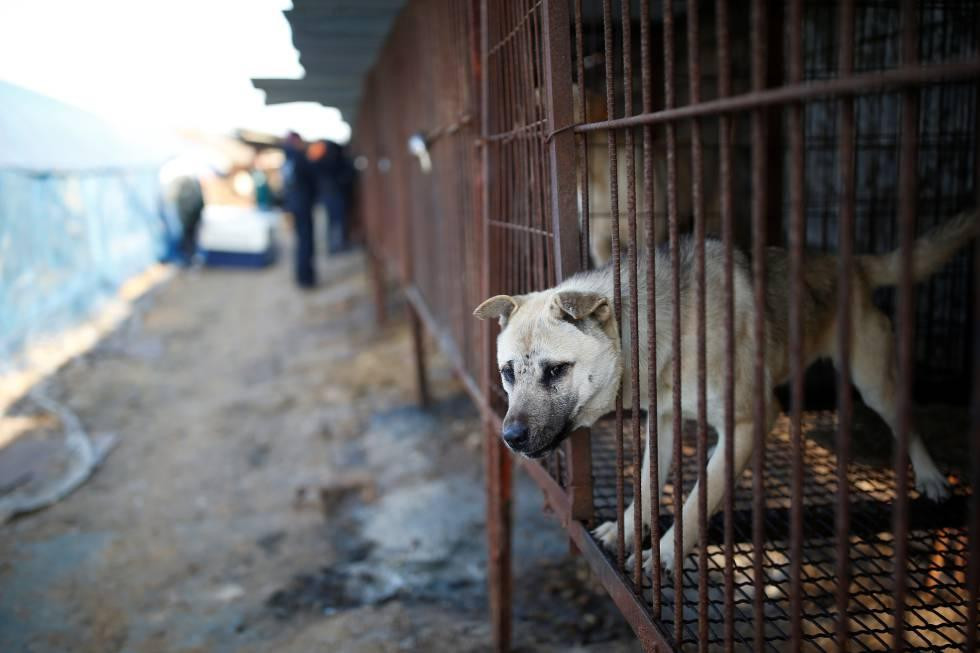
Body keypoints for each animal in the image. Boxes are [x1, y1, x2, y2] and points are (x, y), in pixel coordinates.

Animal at [472, 210, 972, 572]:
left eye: (556, 370)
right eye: (508, 373)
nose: (509, 437)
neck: (661, 330)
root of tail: (850, 261)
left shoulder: (750, 420)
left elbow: (697, 501)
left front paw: (666, 555)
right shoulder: (665, 420)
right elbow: (647, 484)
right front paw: (629, 529)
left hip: (874, 382)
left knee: (907, 422)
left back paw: (931, 477)